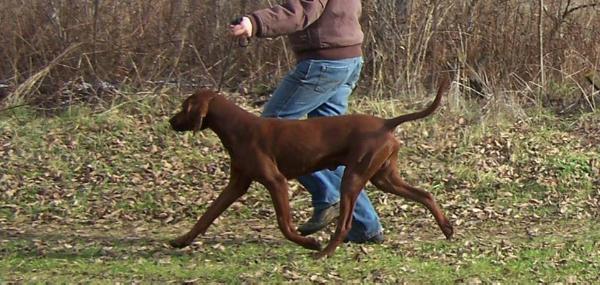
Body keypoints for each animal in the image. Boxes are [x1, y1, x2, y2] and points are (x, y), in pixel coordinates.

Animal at [166, 77, 452, 258]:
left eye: (184, 107)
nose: (170, 121)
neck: (238, 128)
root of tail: (385, 123)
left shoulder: (276, 181)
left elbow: (284, 224)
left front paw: (310, 243)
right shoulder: (237, 184)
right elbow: (207, 215)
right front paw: (181, 240)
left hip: (354, 176)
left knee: (344, 223)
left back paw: (324, 253)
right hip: (383, 177)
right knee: (425, 194)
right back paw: (447, 228)